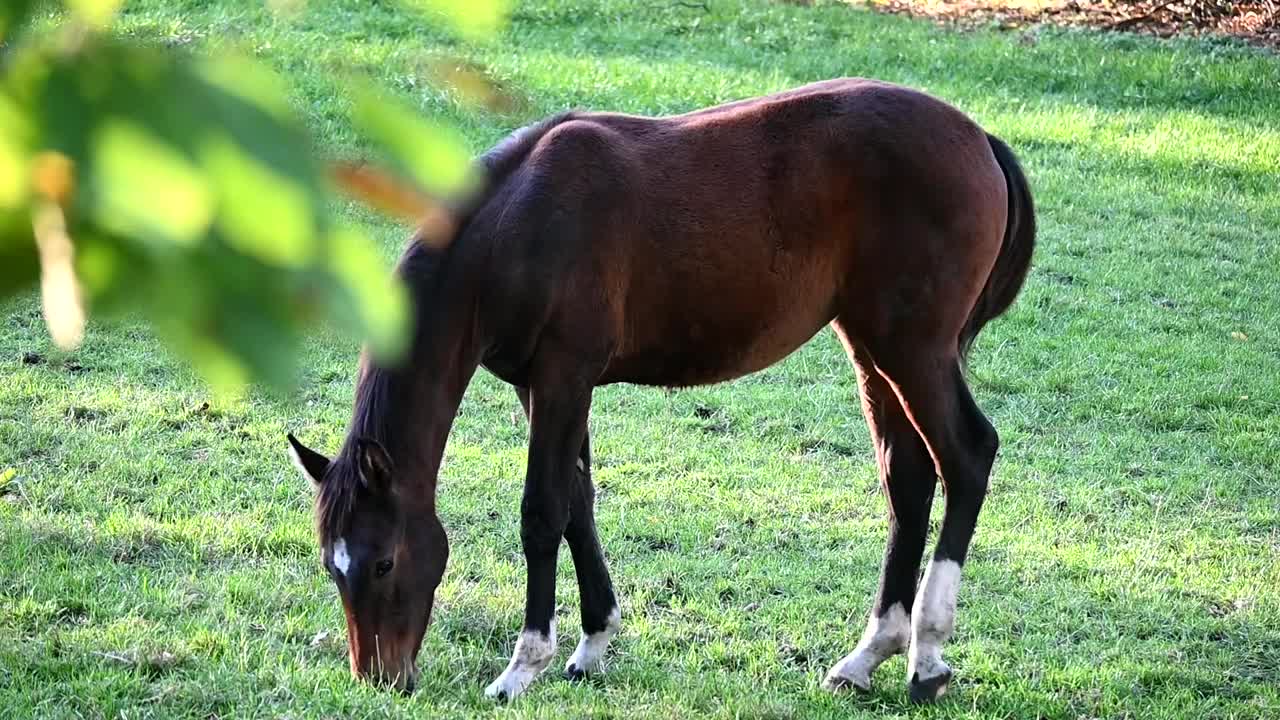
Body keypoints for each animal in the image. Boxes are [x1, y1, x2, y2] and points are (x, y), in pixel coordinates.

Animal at [288, 78, 1029, 702]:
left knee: (967, 458)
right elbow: (578, 502)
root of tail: (978, 138)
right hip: (873, 350)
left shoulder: (563, 377)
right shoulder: (543, 386)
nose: (380, 677)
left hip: (914, 351)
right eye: (332, 565)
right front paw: (593, 645)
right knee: (908, 480)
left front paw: (524, 666)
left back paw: (926, 659)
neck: (520, 222)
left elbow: (542, 513)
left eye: (383, 563)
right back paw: (867, 656)